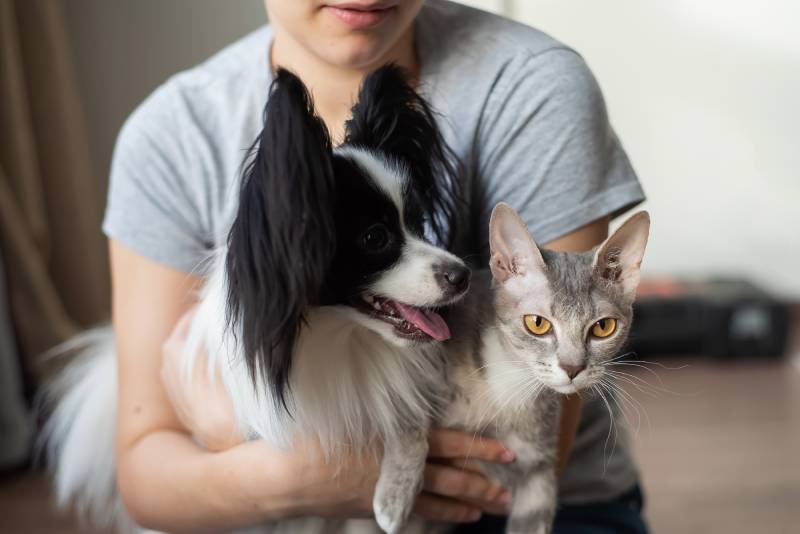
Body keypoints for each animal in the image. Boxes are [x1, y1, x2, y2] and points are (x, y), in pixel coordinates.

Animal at [376, 204, 648, 534]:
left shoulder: (539, 470)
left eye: (603, 327)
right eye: (537, 323)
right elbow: (406, 409)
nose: (573, 367)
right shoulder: (415, 363)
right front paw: (394, 496)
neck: (509, 384)